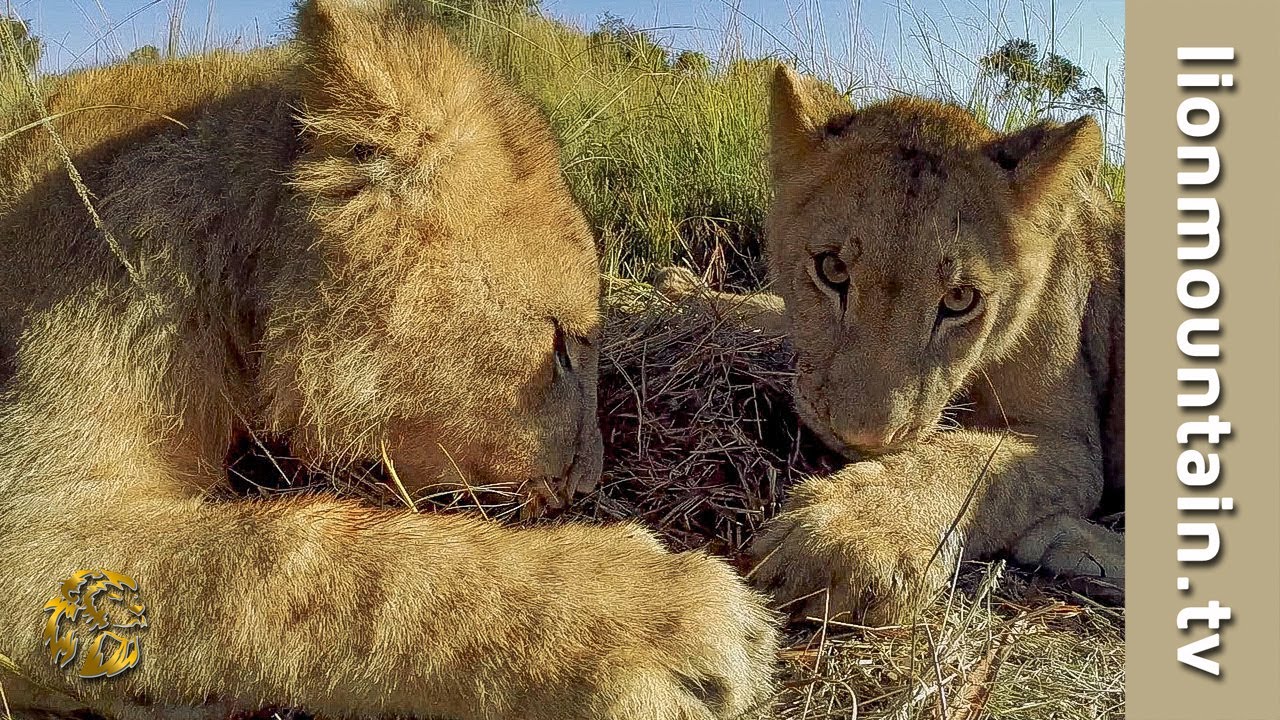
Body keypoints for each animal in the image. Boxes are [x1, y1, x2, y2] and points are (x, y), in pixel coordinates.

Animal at [658, 66, 1124, 624]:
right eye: (832, 269)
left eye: (960, 299)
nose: (864, 440)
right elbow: (771, 312)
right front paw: (679, 290)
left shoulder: (1072, 443)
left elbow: (970, 461)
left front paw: (843, 540)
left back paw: (1062, 540)